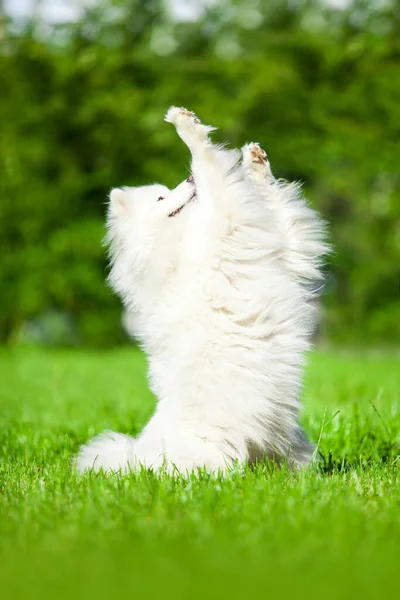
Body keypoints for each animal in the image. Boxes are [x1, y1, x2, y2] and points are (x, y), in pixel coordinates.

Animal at [76, 106, 330, 474]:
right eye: (161, 197)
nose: (188, 181)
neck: (173, 249)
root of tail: (136, 460)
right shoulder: (226, 224)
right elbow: (211, 168)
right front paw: (186, 127)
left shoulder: (279, 246)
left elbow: (271, 203)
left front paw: (255, 161)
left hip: (292, 447)